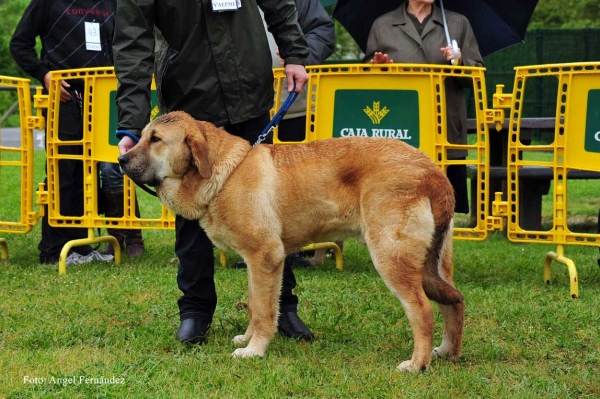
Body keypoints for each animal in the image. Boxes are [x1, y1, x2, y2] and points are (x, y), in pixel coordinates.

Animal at [117, 111, 464, 374]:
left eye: (156, 139)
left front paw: (255, 350)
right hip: (434, 265)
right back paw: (447, 351)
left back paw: (416, 364)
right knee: (454, 302)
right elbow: (255, 302)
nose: (121, 159)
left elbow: (263, 311)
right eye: (142, 136)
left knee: (423, 310)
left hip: (391, 257)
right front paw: (247, 339)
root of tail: (433, 172)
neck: (224, 174)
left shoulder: (265, 256)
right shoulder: (256, 263)